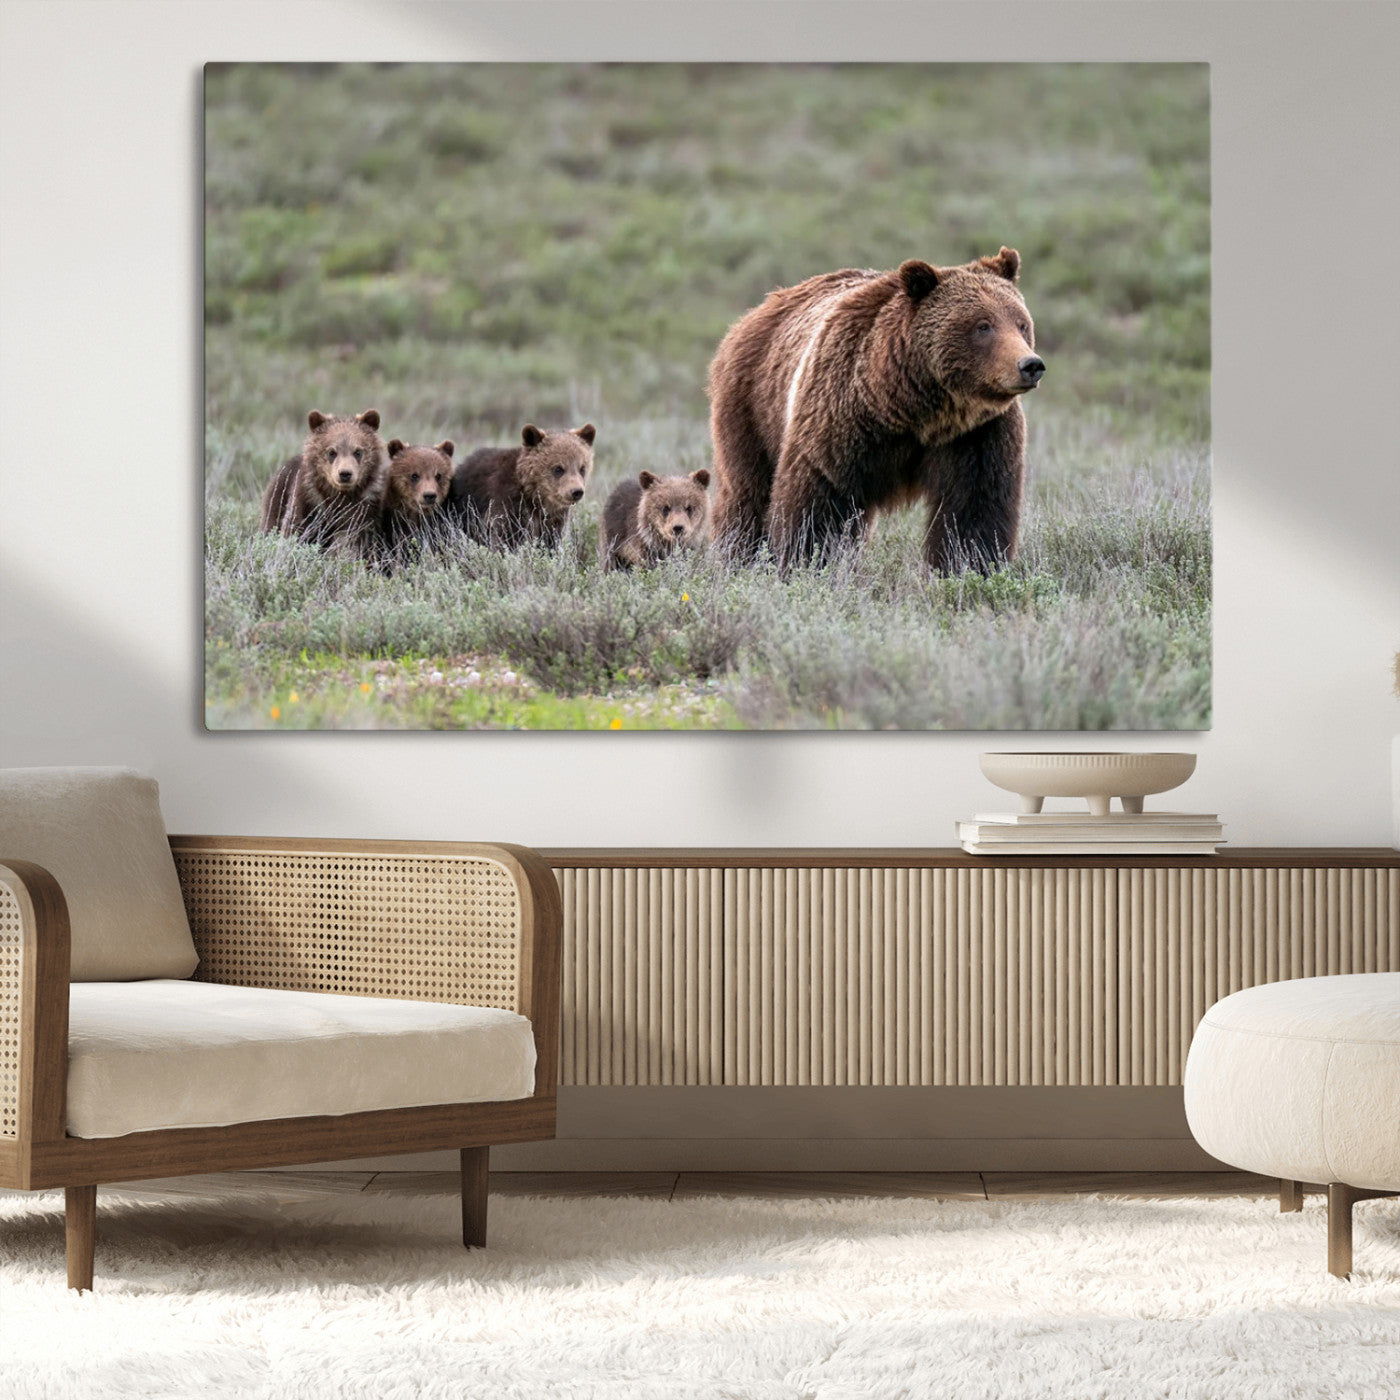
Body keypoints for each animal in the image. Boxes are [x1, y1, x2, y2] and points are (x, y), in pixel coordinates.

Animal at [260, 409, 389, 557]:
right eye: (332, 452)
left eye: (358, 451)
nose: (345, 474)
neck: (339, 494)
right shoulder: (309, 500)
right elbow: (295, 528)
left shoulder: (364, 507)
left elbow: (355, 538)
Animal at [448, 423, 595, 549]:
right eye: (558, 469)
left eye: (582, 468)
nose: (576, 491)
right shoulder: (508, 503)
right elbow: (506, 538)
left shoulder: (553, 518)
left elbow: (550, 540)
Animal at [706, 248, 1044, 573]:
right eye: (983, 326)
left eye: (1021, 323)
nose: (1030, 365)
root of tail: (757, 311)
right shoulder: (841, 418)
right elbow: (817, 502)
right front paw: (805, 563)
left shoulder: (976, 433)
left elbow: (975, 509)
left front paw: (969, 567)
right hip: (752, 405)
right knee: (747, 493)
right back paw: (737, 556)